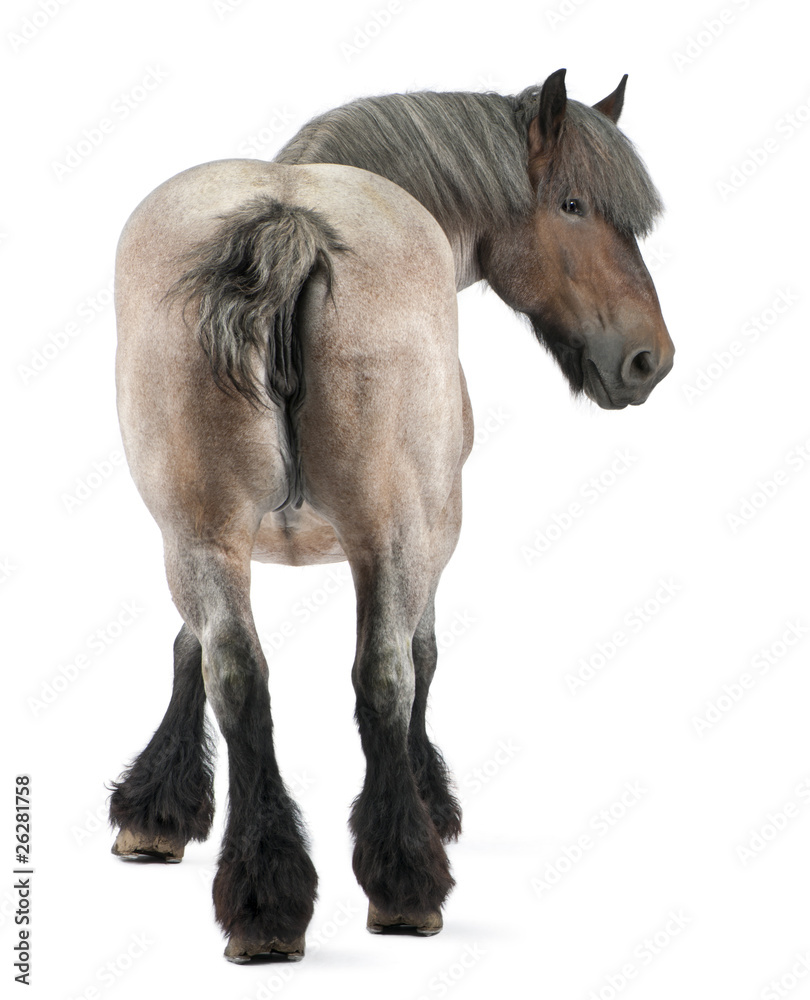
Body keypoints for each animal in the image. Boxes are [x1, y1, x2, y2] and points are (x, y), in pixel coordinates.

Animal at [108, 68, 674, 963]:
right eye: (574, 204)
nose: (650, 358)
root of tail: (290, 222)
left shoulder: (201, 537)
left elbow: (189, 650)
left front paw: (157, 809)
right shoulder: (431, 532)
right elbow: (419, 659)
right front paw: (428, 805)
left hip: (200, 531)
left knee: (239, 674)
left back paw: (264, 900)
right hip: (387, 531)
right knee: (381, 676)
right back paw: (403, 882)